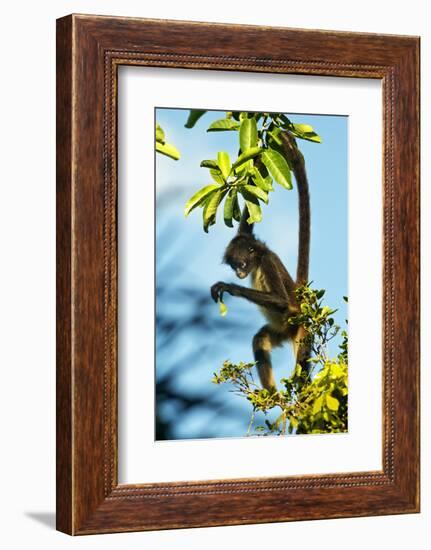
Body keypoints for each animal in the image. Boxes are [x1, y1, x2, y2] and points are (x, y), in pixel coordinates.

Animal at [212, 132, 310, 392]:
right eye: (234, 267)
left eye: (241, 266)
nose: (238, 275)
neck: (257, 260)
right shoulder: (244, 235)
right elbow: (248, 217)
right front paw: (257, 155)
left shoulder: (266, 262)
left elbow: (280, 301)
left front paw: (229, 287)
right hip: (279, 332)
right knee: (259, 340)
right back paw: (273, 397)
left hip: (300, 331)